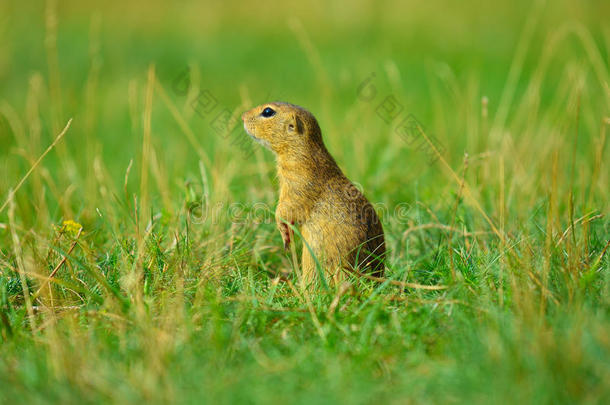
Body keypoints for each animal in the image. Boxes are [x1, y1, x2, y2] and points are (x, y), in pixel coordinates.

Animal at [240, 102, 382, 284]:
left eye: (268, 111)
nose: (242, 116)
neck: (301, 151)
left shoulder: (296, 184)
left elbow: (286, 209)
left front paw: (284, 232)